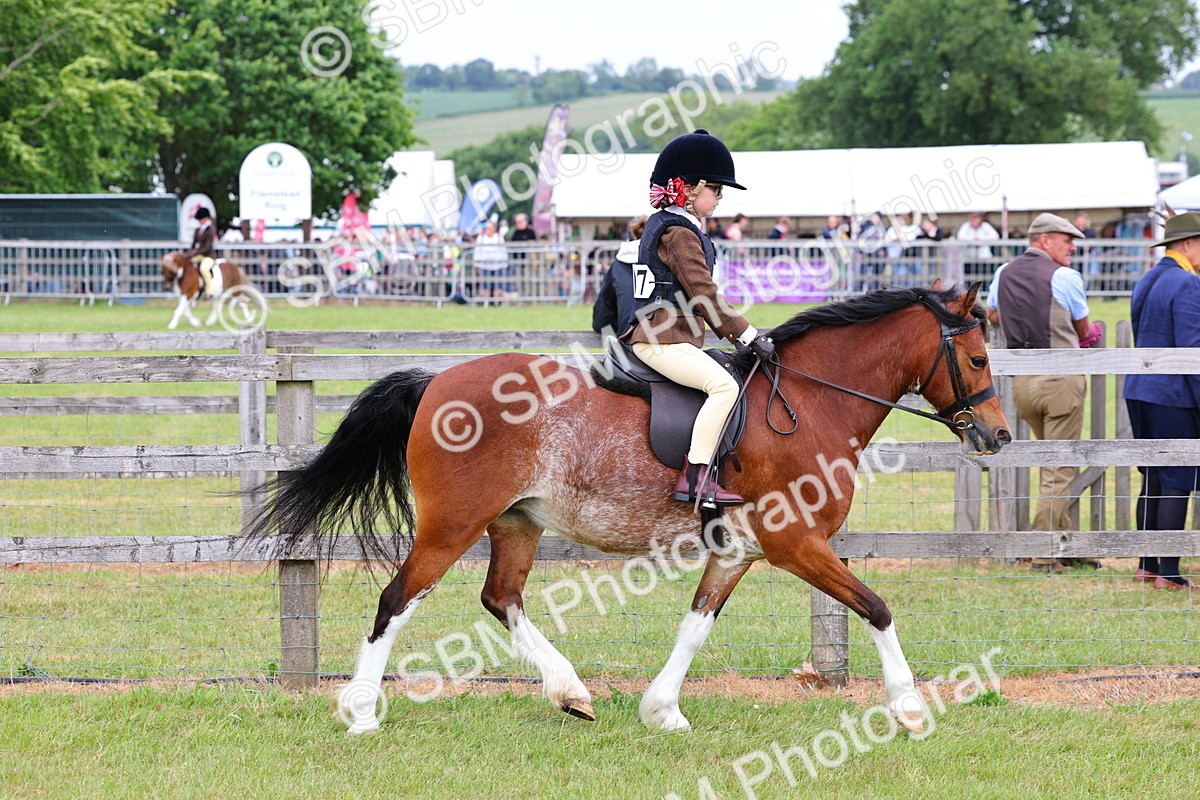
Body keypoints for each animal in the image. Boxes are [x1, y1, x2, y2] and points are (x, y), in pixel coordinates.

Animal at [244, 282, 1011, 735]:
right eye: (976, 360)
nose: (998, 437)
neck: (811, 400)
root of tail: (436, 382)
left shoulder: (738, 551)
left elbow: (695, 628)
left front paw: (661, 710)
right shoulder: (796, 544)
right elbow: (877, 607)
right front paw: (909, 709)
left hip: (517, 522)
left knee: (502, 599)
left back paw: (570, 692)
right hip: (451, 525)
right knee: (397, 600)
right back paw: (361, 712)